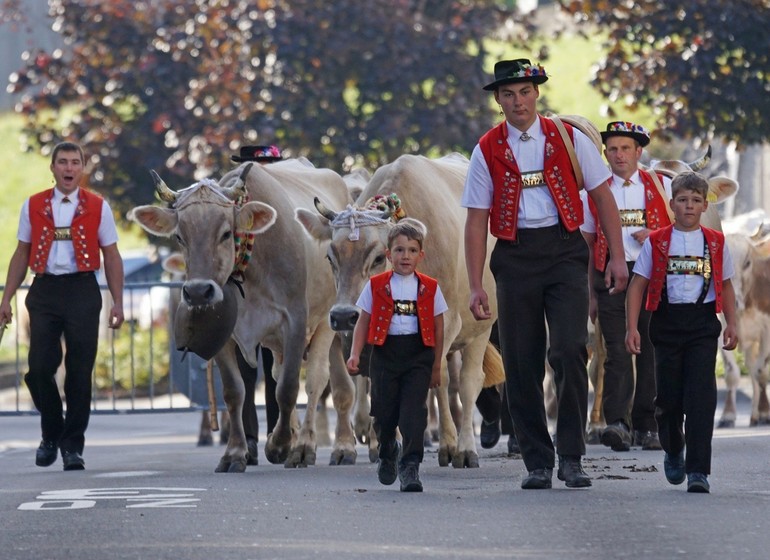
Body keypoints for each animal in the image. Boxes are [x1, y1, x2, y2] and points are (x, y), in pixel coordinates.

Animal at [127, 160, 356, 470]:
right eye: (179, 237)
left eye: (226, 233)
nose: (198, 292)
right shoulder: (223, 333)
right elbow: (234, 392)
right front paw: (235, 453)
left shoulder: (295, 321)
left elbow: (288, 388)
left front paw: (280, 444)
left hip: (326, 322)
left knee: (320, 382)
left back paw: (318, 446)